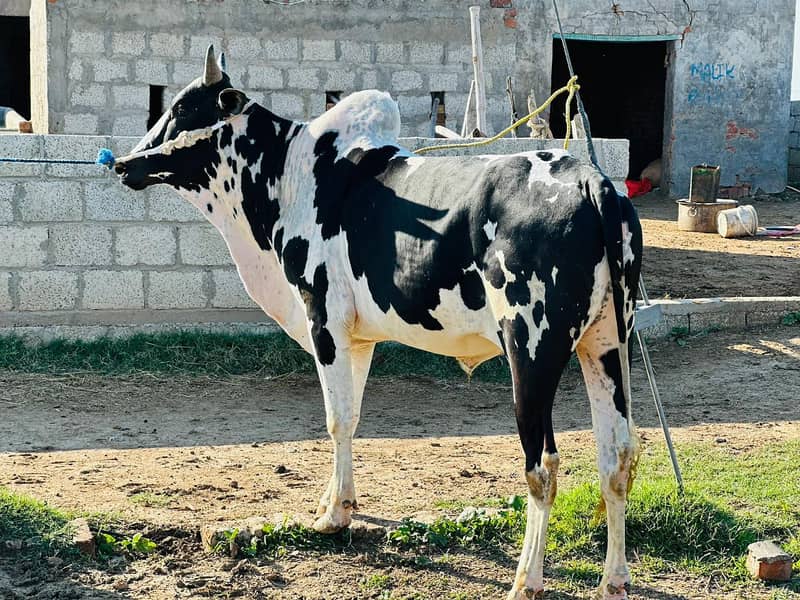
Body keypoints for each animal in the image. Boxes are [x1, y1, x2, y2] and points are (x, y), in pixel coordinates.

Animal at [113, 46, 643, 600]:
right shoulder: (358, 336)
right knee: (618, 453)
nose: (123, 163)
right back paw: (614, 578)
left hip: (532, 349)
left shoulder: (322, 318)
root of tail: (590, 180)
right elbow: (351, 417)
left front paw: (333, 517)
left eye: (182, 109)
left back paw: (527, 580)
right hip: (607, 342)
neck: (293, 175)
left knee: (543, 465)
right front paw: (336, 503)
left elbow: (336, 417)